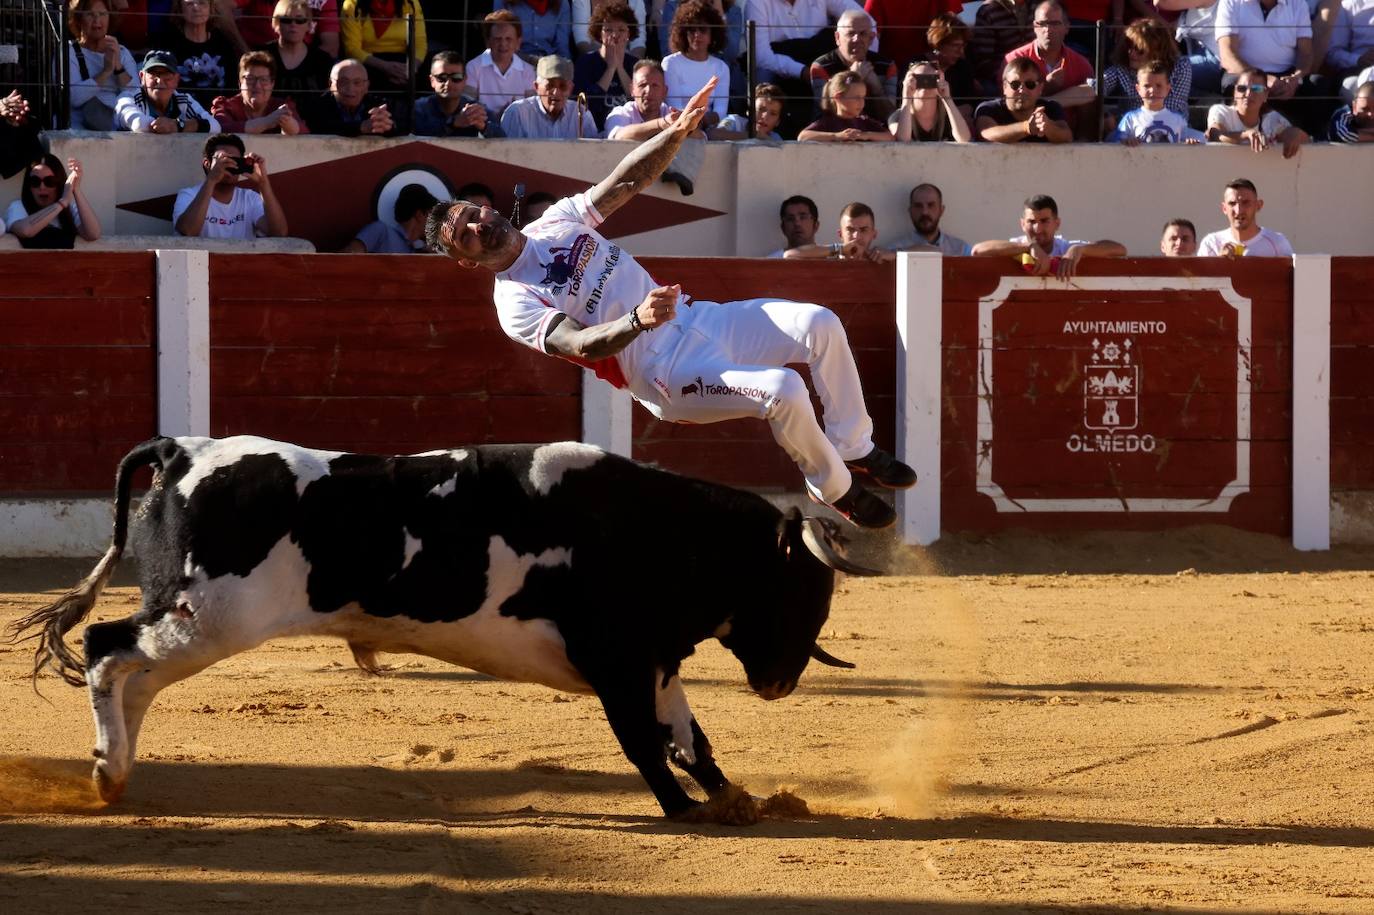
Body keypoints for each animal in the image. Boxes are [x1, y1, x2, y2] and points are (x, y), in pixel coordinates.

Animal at [10, 434, 873, 818]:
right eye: (805, 585)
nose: (781, 681)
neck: (659, 528)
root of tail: (185, 449)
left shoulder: (654, 662)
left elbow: (692, 739)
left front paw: (737, 800)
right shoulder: (619, 664)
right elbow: (646, 745)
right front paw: (689, 813)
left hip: (192, 623)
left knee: (133, 674)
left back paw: (116, 774)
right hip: (203, 618)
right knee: (107, 651)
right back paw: (105, 772)